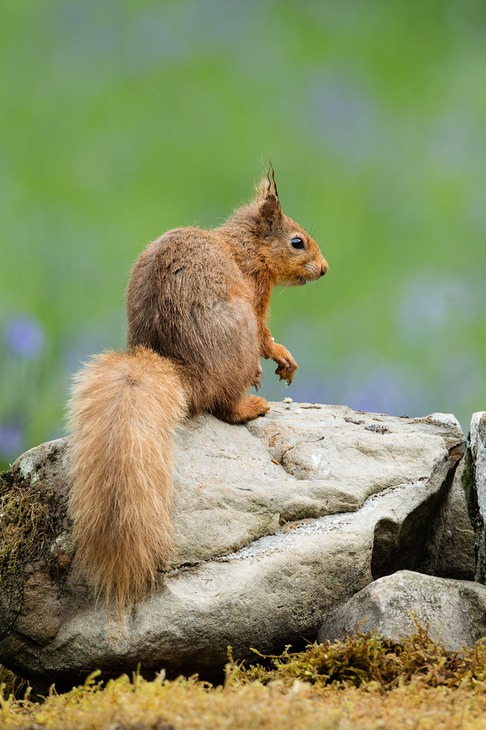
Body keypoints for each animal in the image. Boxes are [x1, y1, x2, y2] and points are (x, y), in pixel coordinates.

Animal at [67, 169, 326, 608]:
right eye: (297, 241)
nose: (325, 270)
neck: (245, 247)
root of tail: (185, 371)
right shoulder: (255, 294)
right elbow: (265, 336)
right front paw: (280, 358)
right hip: (236, 333)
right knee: (223, 406)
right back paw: (252, 404)